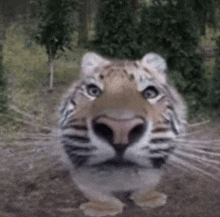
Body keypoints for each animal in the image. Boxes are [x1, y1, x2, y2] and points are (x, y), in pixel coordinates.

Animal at [58, 51, 187, 216]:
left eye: (150, 93)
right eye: (93, 91)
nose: (121, 129)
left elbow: (150, 180)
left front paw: (150, 199)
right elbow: (92, 188)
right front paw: (104, 208)